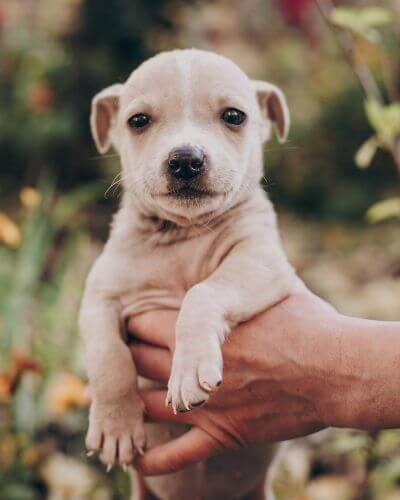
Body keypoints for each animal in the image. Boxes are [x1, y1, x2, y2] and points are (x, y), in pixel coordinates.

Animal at [80, 47, 296, 500]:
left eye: (234, 116)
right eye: (138, 121)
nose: (185, 160)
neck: (183, 233)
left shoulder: (261, 262)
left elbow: (203, 293)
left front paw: (189, 369)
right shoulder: (99, 296)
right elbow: (108, 356)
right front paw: (114, 425)